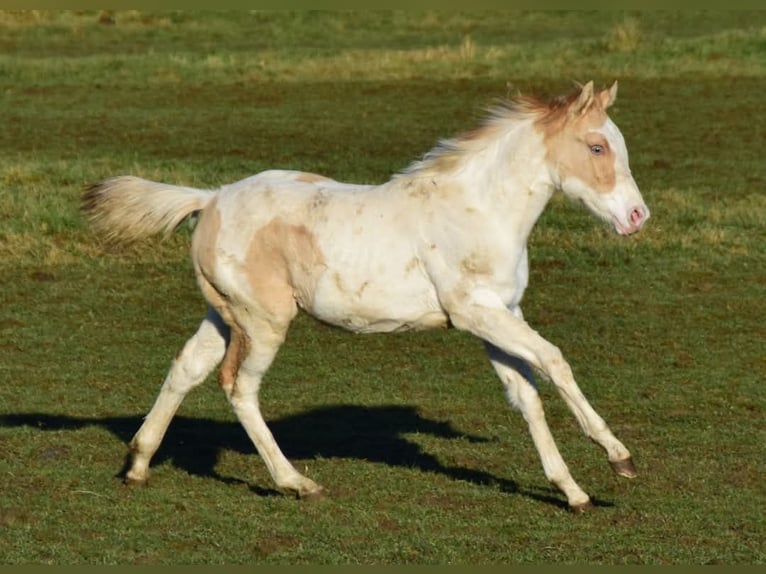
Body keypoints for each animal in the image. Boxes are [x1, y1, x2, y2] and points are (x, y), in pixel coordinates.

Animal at [82, 81, 648, 512]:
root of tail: (212, 198)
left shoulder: (501, 314)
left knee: (186, 368)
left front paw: (572, 492)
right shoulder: (476, 313)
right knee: (239, 387)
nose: (637, 217)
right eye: (597, 147)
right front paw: (618, 457)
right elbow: (555, 362)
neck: (478, 210)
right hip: (264, 321)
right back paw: (296, 482)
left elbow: (525, 395)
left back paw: (138, 464)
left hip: (224, 315)